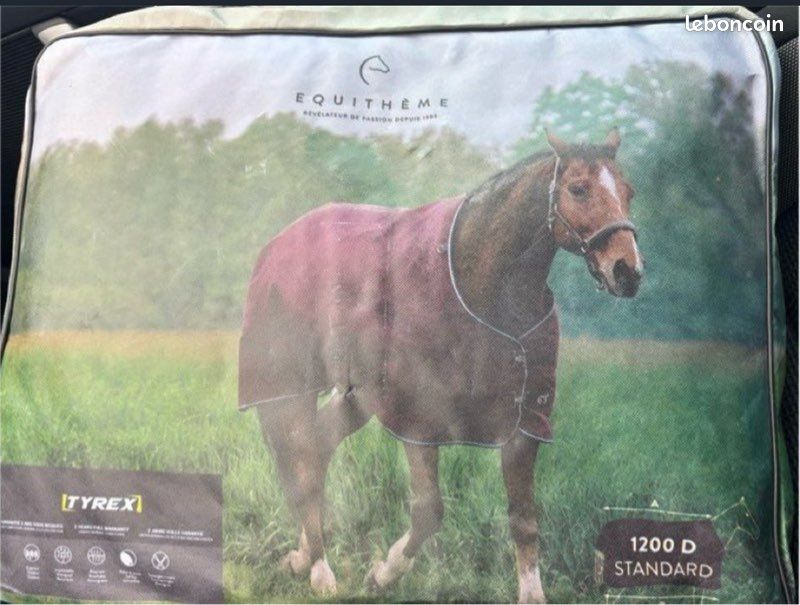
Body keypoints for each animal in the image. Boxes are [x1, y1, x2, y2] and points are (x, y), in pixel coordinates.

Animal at [238, 129, 643, 603]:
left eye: (629, 191)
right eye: (578, 189)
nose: (627, 271)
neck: (480, 287)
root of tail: (276, 246)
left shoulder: (524, 424)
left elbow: (524, 519)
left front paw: (531, 592)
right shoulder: (418, 420)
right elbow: (429, 511)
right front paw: (383, 573)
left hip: (357, 396)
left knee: (316, 448)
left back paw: (303, 558)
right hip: (287, 389)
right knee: (300, 461)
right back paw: (320, 568)